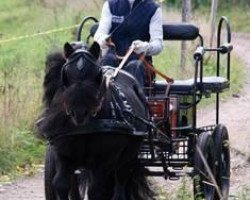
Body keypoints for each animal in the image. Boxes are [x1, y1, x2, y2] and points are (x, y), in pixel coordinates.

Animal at [36, 41, 155, 199]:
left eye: (98, 75)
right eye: (65, 75)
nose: (79, 112)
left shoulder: (103, 160)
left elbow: (95, 191)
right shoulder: (63, 154)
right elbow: (61, 184)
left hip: (128, 156)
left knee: (120, 183)